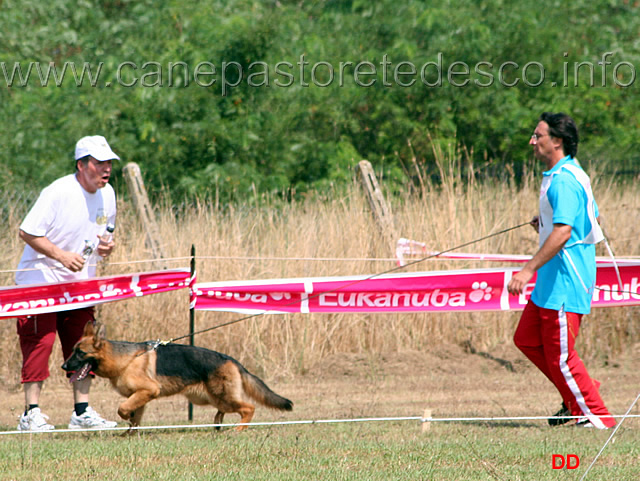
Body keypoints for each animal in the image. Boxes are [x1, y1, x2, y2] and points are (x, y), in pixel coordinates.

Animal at [62, 320, 292, 430]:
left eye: (80, 353)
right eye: (73, 350)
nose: (64, 366)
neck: (125, 359)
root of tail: (231, 359)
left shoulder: (148, 390)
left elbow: (123, 409)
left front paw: (125, 419)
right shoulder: (142, 396)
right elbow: (135, 419)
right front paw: (129, 434)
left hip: (223, 396)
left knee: (248, 408)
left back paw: (238, 429)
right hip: (212, 397)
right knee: (224, 410)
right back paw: (218, 424)